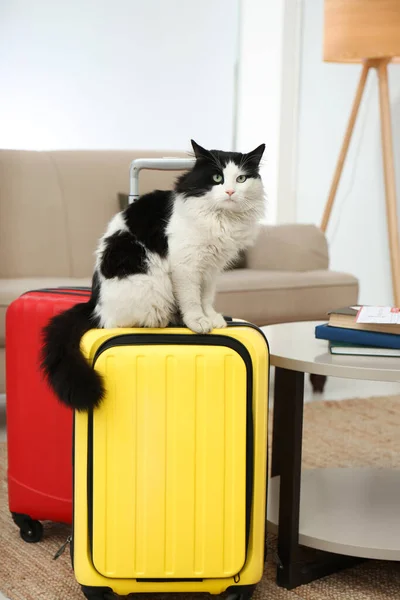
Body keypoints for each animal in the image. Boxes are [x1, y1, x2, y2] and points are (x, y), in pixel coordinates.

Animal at [41, 141, 266, 412]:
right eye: (217, 178)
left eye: (241, 178)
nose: (231, 191)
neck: (221, 219)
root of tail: (93, 303)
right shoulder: (186, 265)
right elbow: (192, 299)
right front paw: (198, 322)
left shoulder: (211, 268)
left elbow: (206, 297)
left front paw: (212, 318)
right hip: (150, 287)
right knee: (121, 322)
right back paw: (168, 320)